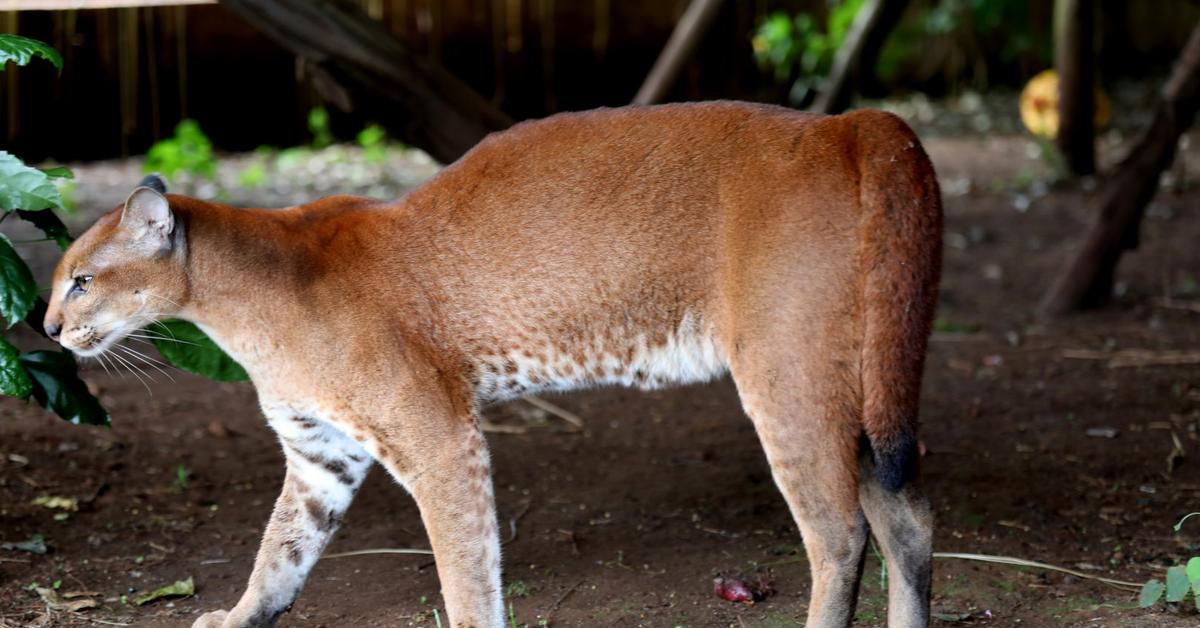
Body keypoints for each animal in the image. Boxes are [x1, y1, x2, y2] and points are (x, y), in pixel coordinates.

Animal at [42, 100, 940, 624]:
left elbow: (465, 567)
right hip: (862, 382)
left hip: (789, 376)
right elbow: (280, 552)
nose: (48, 327)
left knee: (839, 535)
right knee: (908, 519)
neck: (234, 298)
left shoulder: (437, 436)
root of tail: (843, 121)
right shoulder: (320, 452)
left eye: (81, 280)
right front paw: (237, 618)